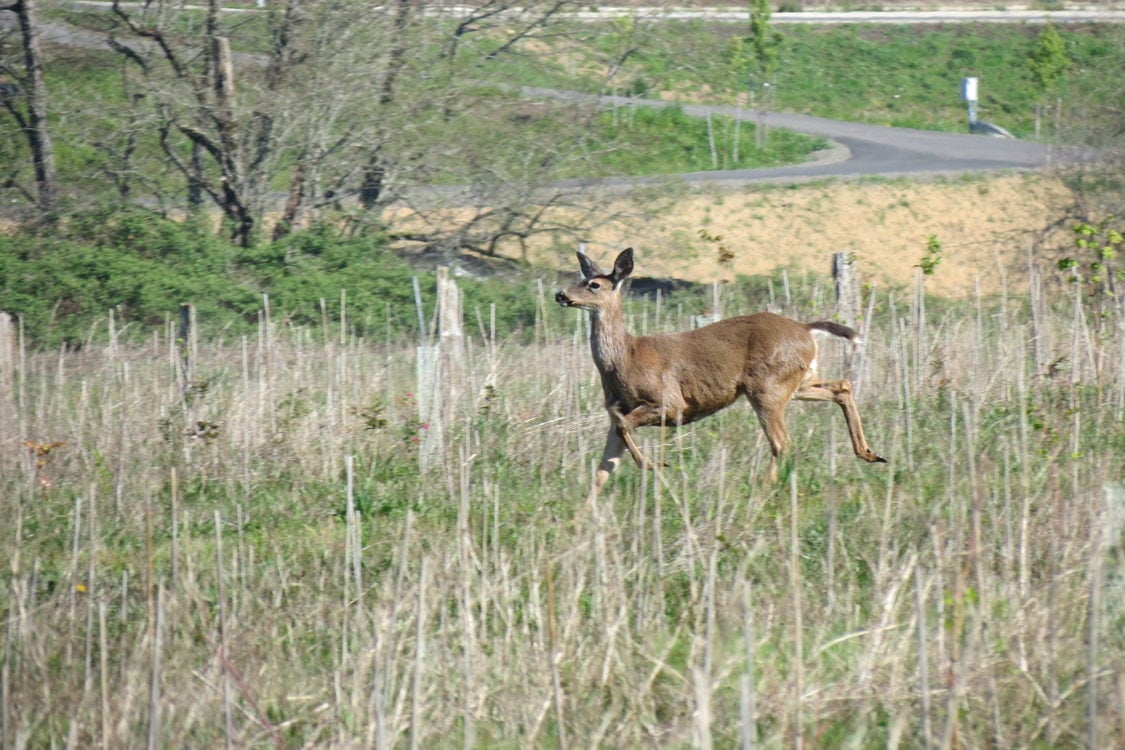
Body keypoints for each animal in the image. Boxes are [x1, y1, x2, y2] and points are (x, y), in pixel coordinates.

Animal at [555, 249, 886, 501]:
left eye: (593, 285)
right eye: (580, 278)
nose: (560, 294)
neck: (625, 358)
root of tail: (806, 329)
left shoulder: (669, 402)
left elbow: (625, 433)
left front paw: (654, 465)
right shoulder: (616, 411)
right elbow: (603, 467)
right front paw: (586, 513)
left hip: (767, 385)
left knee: (782, 442)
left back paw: (760, 493)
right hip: (797, 381)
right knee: (841, 386)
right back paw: (869, 453)